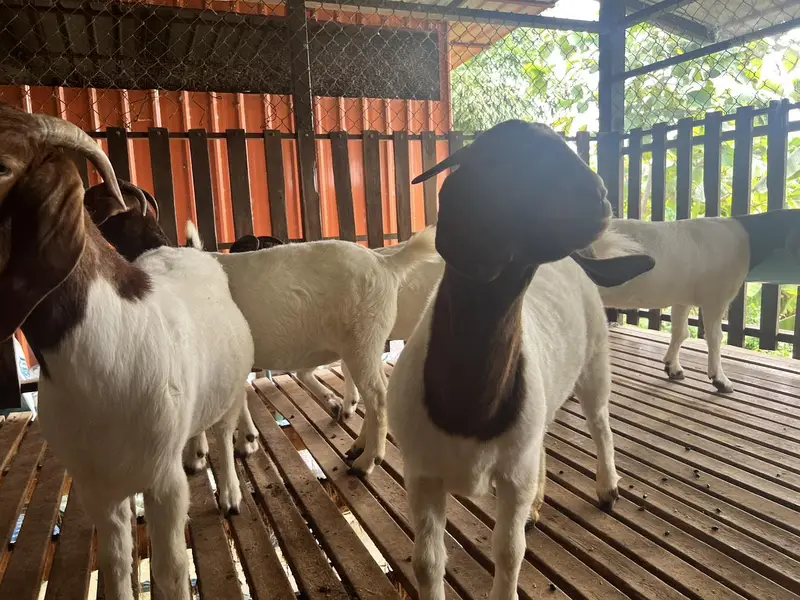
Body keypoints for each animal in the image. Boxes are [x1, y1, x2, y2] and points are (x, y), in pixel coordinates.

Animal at [0, 105, 254, 600]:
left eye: (1, 167)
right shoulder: (96, 488)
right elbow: (116, 566)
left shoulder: (163, 484)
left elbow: (172, 572)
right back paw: (195, 452)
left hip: (231, 389)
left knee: (223, 431)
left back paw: (231, 493)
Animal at [386, 121, 655, 600]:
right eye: (512, 163)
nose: (601, 195)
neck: (468, 409)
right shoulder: (422, 475)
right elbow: (428, 561)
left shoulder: (512, 477)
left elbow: (509, 553)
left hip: (595, 362)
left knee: (600, 422)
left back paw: (608, 488)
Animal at [592, 214, 800, 393]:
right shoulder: (716, 297)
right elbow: (715, 337)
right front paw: (721, 381)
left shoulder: (682, 298)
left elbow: (680, 332)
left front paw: (673, 368)